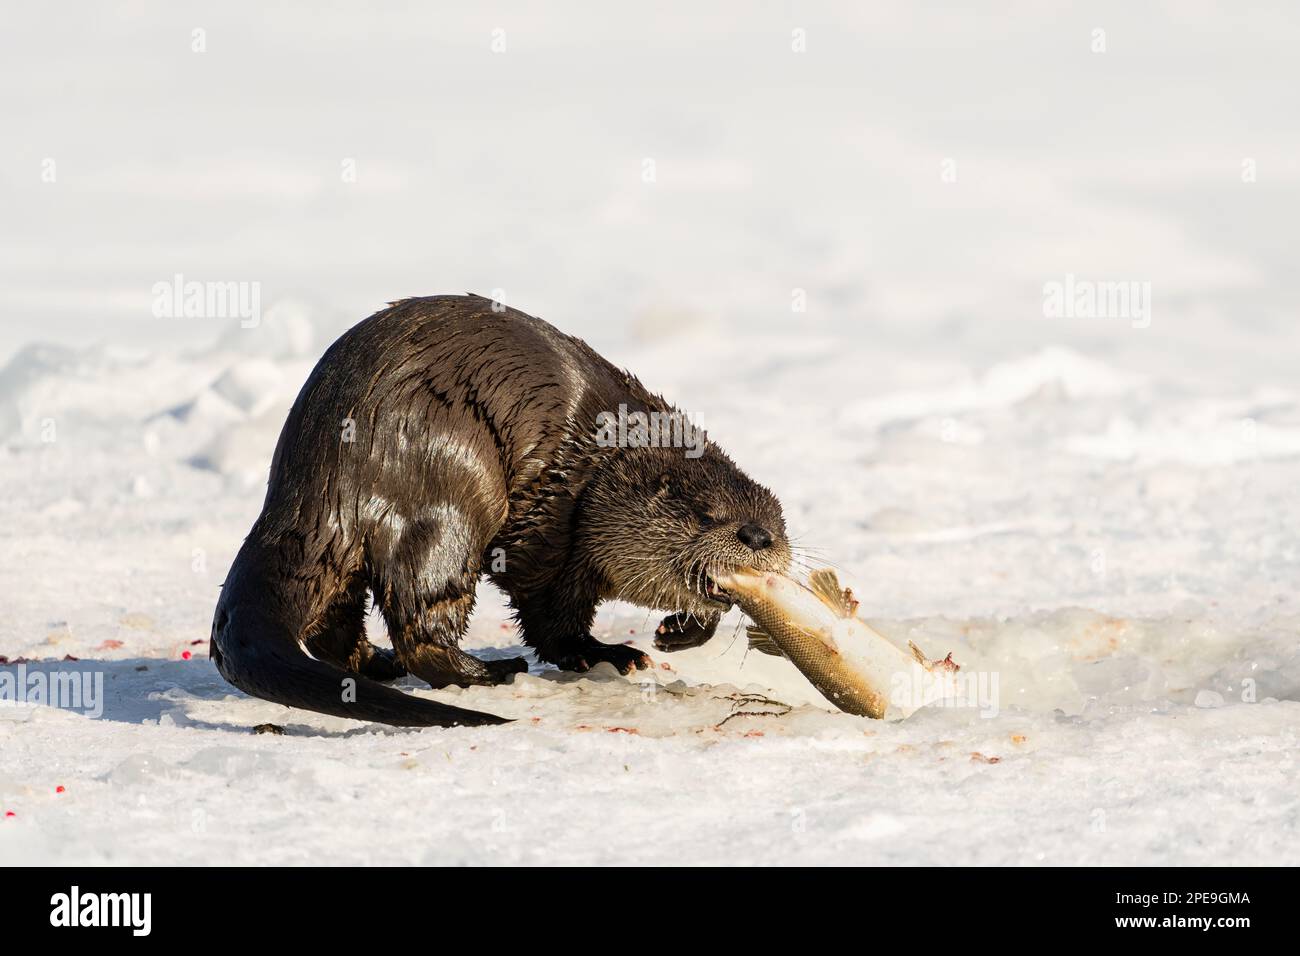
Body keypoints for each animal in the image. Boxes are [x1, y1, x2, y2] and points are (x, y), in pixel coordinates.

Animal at [211, 295, 790, 726]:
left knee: (332, 622)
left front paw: (676, 631)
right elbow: (549, 611)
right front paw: (606, 653)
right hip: (451, 487)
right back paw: (491, 671)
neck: (599, 466)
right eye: (707, 515)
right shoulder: (553, 525)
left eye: (776, 522)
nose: (760, 539)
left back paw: (380, 664)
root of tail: (319, 482)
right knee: (423, 616)